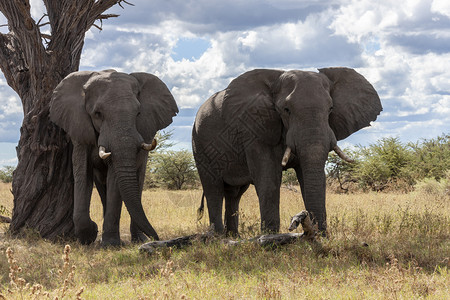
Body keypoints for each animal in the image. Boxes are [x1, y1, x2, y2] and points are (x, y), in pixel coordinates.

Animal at [50, 69, 179, 245]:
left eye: (138, 113)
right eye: (97, 114)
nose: (157, 237)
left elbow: (114, 179)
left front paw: (109, 244)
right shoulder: (79, 129)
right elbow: (83, 172)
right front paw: (90, 234)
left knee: (137, 182)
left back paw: (139, 239)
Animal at [192, 67, 382, 236]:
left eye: (330, 109)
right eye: (286, 110)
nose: (317, 232)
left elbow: (309, 177)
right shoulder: (254, 130)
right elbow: (268, 178)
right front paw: (270, 237)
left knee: (234, 193)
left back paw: (233, 236)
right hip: (200, 144)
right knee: (213, 188)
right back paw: (217, 237)